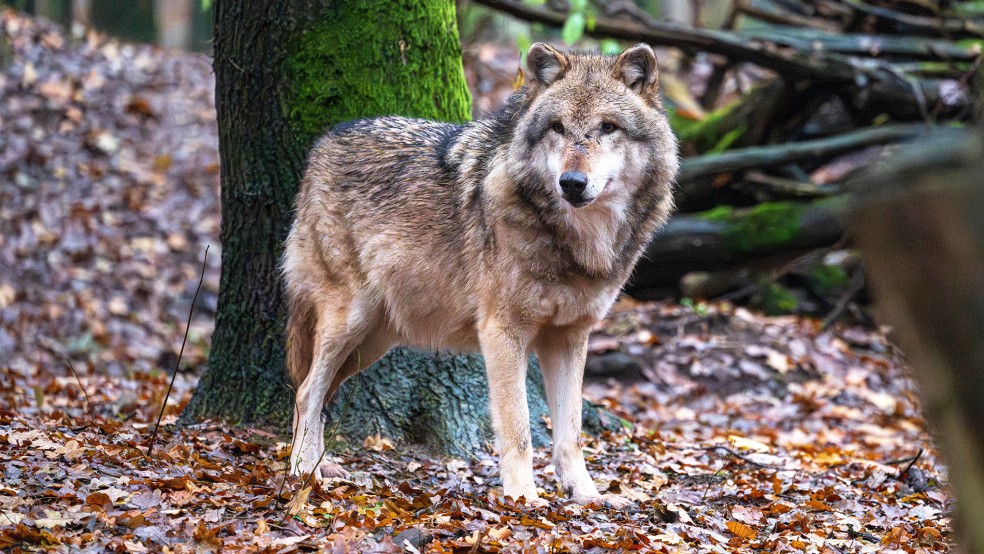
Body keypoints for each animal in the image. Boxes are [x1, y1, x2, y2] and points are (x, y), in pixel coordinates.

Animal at [282, 42, 676, 504]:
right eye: (558, 127)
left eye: (608, 127)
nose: (572, 182)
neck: (576, 241)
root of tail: (323, 142)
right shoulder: (502, 332)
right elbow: (519, 428)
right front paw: (524, 498)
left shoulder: (569, 337)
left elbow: (571, 434)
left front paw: (586, 495)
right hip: (350, 320)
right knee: (306, 392)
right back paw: (302, 472)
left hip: (371, 342)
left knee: (317, 394)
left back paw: (317, 469)